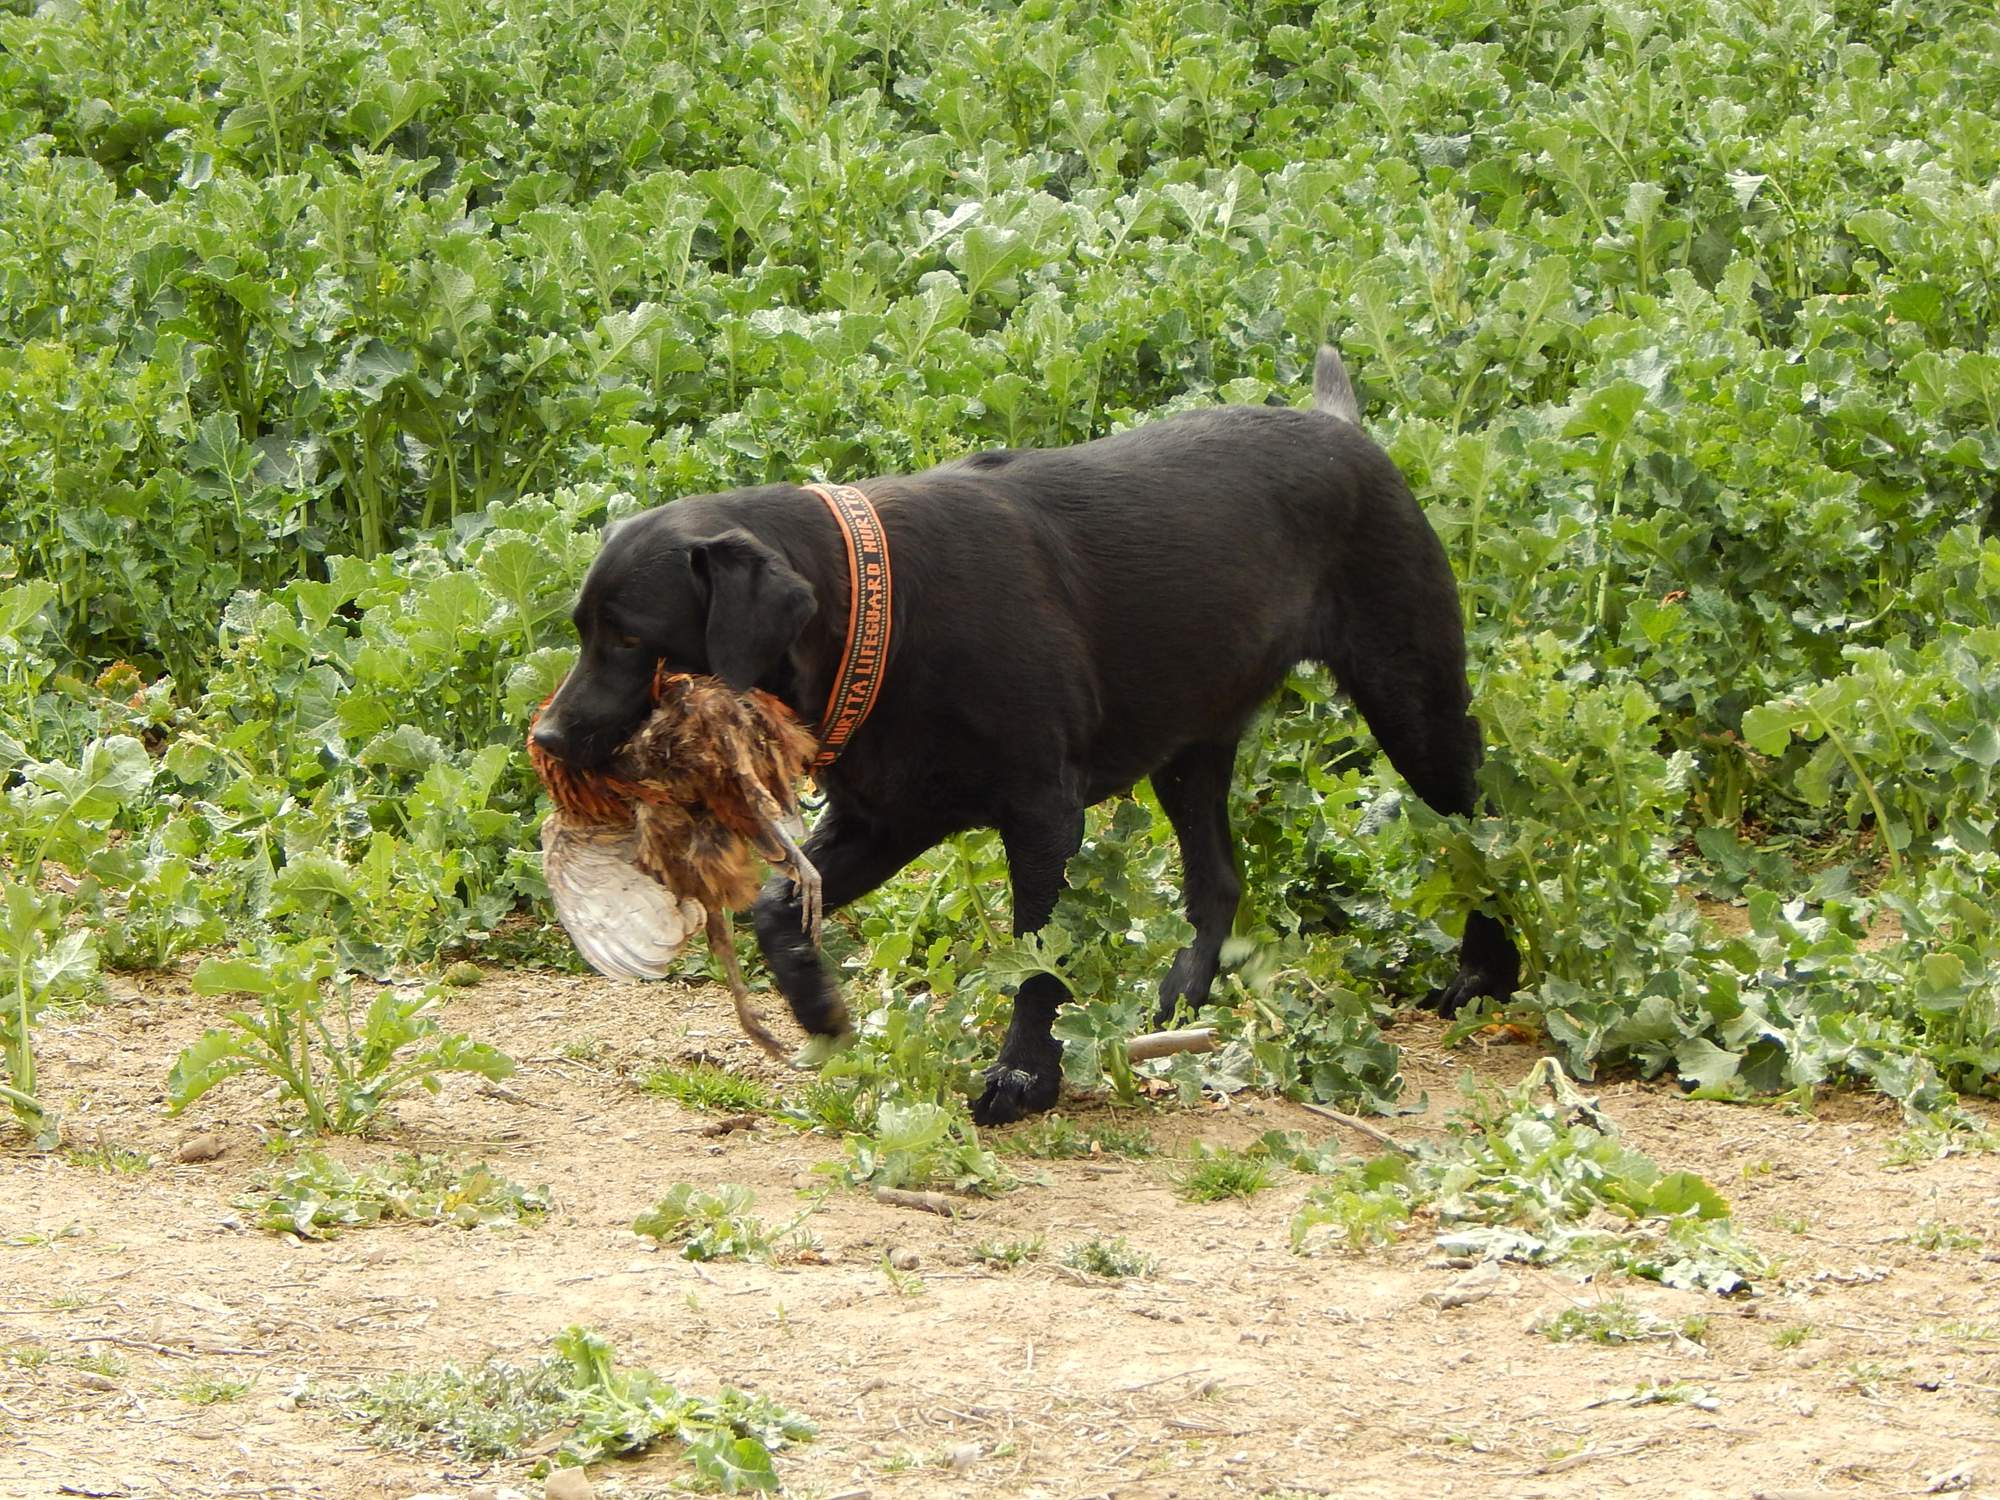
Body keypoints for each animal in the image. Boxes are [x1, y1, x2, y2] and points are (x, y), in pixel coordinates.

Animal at [532, 352, 1512, 1120]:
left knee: (1488, 834)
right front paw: (817, 1008)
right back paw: (1177, 1000)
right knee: (1219, 881)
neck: (878, 612)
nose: (546, 737)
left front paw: (1025, 1075)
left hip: (1416, 712)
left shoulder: (1044, 818)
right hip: (1191, 751)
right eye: (581, 628)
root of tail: (1344, 430)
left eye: (630, 639)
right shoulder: (888, 820)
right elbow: (777, 909)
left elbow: (1041, 958)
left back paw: (1486, 976)